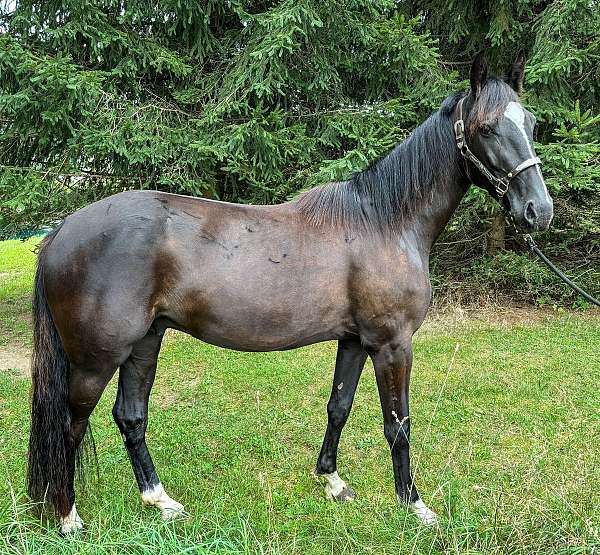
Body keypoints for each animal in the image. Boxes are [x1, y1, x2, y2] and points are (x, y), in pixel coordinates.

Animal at [28, 53, 552, 536]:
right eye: (487, 128)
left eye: (530, 123)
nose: (538, 210)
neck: (384, 222)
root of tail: (59, 234)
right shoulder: (392, 343)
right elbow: (398, 425)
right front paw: (415, 505)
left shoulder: (355, 341)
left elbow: (339, 407)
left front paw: (332, 481)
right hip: (96, 359)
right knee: (70, 426)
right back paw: (68, 517)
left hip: (145, 343)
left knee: (131, 417)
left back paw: (161, 501)